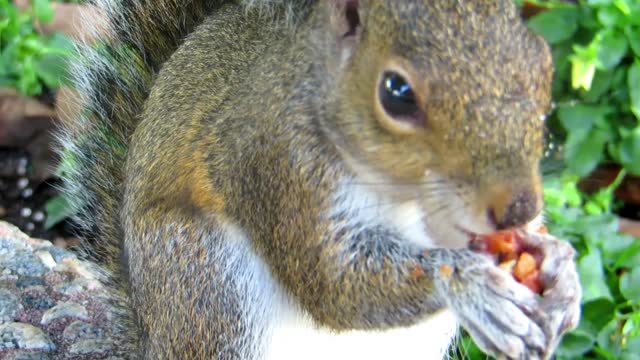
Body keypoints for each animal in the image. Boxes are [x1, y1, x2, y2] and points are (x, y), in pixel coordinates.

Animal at [57, 0, 584, 358]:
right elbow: (332, 285)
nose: (519, 207)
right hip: (205, 283)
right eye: (396, 93)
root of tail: (150, 340)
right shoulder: (276, 164)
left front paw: (560, 266)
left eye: (542, 61)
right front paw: (470, 285)